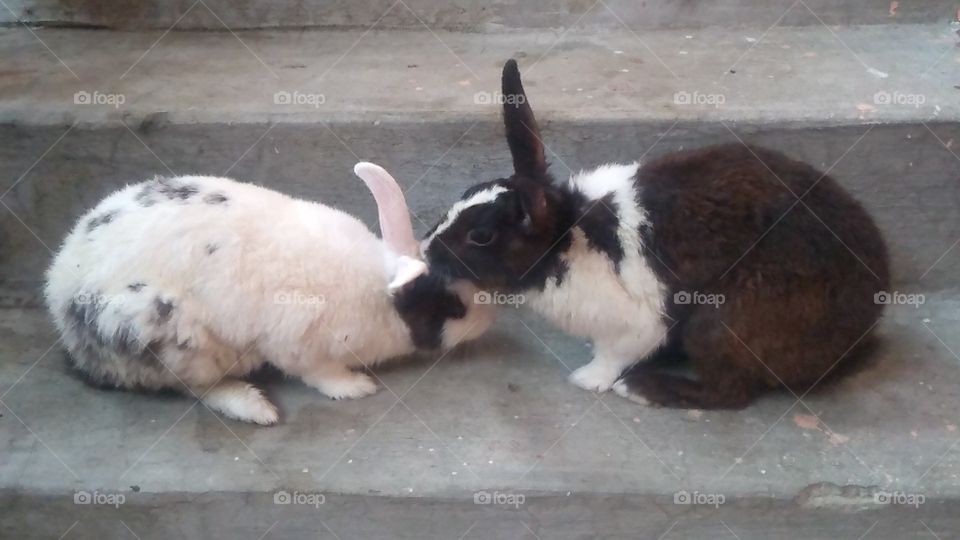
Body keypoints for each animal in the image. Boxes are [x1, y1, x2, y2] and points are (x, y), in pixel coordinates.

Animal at [45, 162, 496, 424]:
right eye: (453, 306)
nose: (487, 321)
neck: (378, 293)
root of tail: (58, 292)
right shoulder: (297, 341)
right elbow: (318, 373)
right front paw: (355, 387)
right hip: (165, 331)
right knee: (193, 386)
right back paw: (255, 408)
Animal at [420, 59, 890, 409]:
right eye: (466, 195)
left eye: (481, 236)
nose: (426, 251)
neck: (567, 240)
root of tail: (860, 335)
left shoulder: (638, 321)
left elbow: (615, 355)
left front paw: (588, 379)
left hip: (721, 321)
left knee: (731, 391)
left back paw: (645, 390)